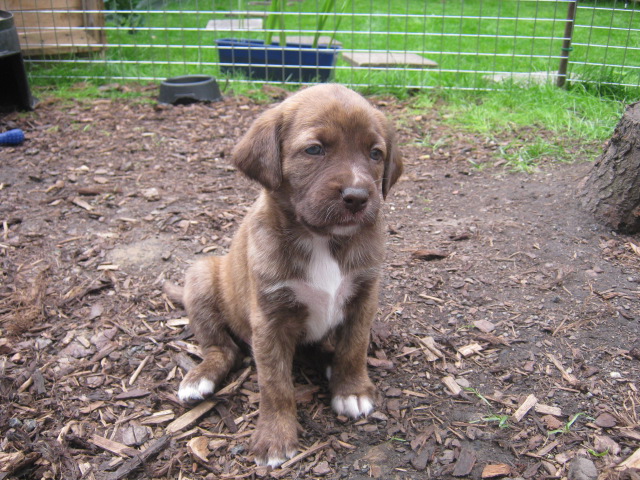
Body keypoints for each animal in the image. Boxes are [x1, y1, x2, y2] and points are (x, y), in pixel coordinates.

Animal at [170, 84, 400, 466]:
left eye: (375, 153)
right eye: (315, 149)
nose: (357, 197)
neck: (322, 240)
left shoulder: (364, 296)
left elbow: (354, 348)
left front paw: (352, 390)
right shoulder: (269, 319)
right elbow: (275, 384)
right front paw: (275, 438)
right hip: (201, 277)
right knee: (221, 348)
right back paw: (200, 377)